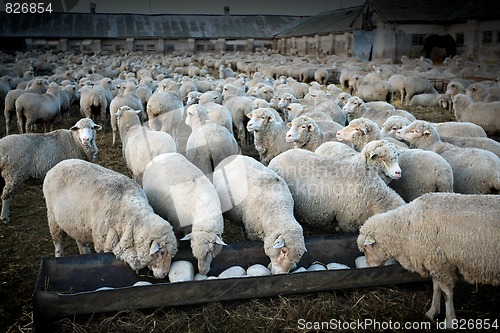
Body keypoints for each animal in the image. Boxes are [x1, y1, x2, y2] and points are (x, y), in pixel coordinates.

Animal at [43, 158, 178, 278]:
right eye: (161, 252)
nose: (165, 274)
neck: (131, 218)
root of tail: (60, 163)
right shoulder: (103, 244)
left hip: (76, 223)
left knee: (80, 241)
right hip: (53, 217)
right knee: (58, 242)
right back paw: (58, 256)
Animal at [360, 191, 500, 328]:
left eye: (365, 249)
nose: (369, 268)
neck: (404, 230)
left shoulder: (441, 265)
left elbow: (446, 293)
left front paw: (449, 321)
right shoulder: (434, 263)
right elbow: (436, 287)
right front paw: (432, 312)